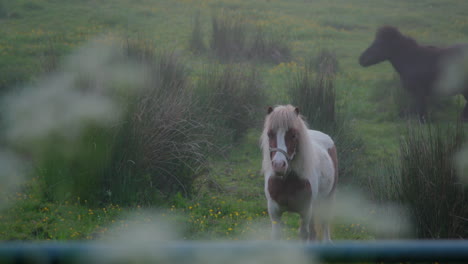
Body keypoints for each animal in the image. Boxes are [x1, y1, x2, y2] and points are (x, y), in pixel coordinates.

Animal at [260, 104, 336, 241]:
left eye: (293, 135)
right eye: (269, 134)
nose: (279, 165)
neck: (287, 182)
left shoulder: (305, 212)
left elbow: (304, 235)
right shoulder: (274, 212)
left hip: (327, 199)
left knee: (324, 225)